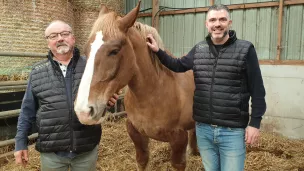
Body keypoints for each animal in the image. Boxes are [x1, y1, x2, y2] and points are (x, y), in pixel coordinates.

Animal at [74, 1, 197, 170]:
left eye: (114, 51)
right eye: (86, 50)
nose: (83, 111)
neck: (155, 94)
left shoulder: (179, 139)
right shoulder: (135, 133)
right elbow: (142, 160)